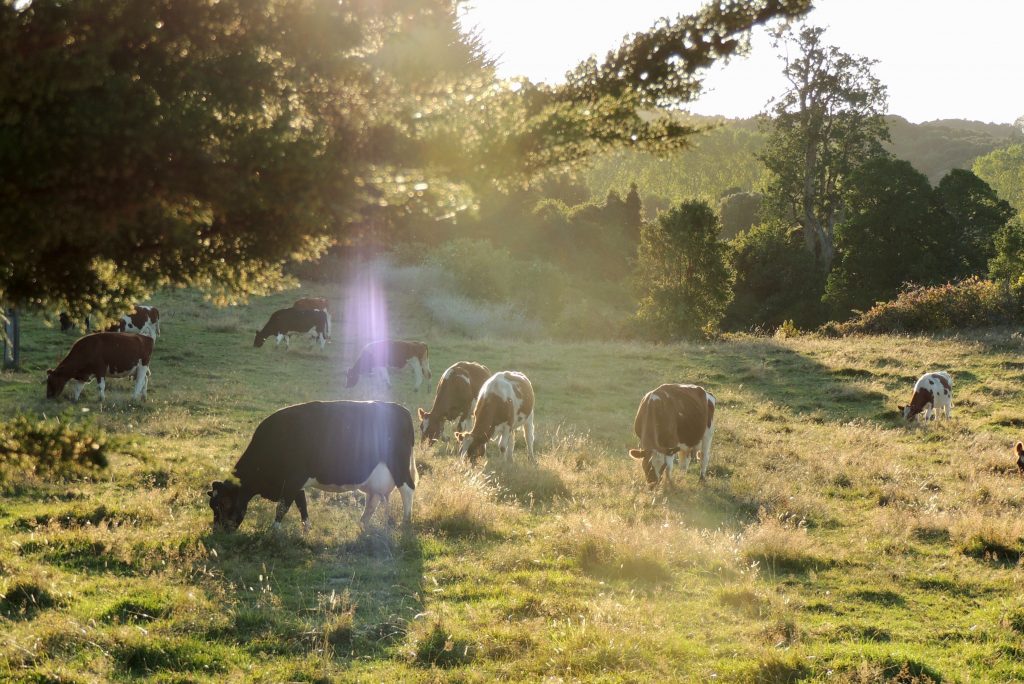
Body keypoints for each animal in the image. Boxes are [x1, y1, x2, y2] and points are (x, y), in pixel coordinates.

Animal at [209, 401, 417, 532]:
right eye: (213, 506)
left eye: (224, 503)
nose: (218, 531)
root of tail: (401, 409)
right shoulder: (295, 483)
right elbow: (302, 504)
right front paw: (306, 528)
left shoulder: (292, 480)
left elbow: (282, 507)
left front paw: (274, 531)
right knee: (373, 499)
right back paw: (363, 523)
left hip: (398, 466)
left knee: (407, 490)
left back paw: (405, 522)